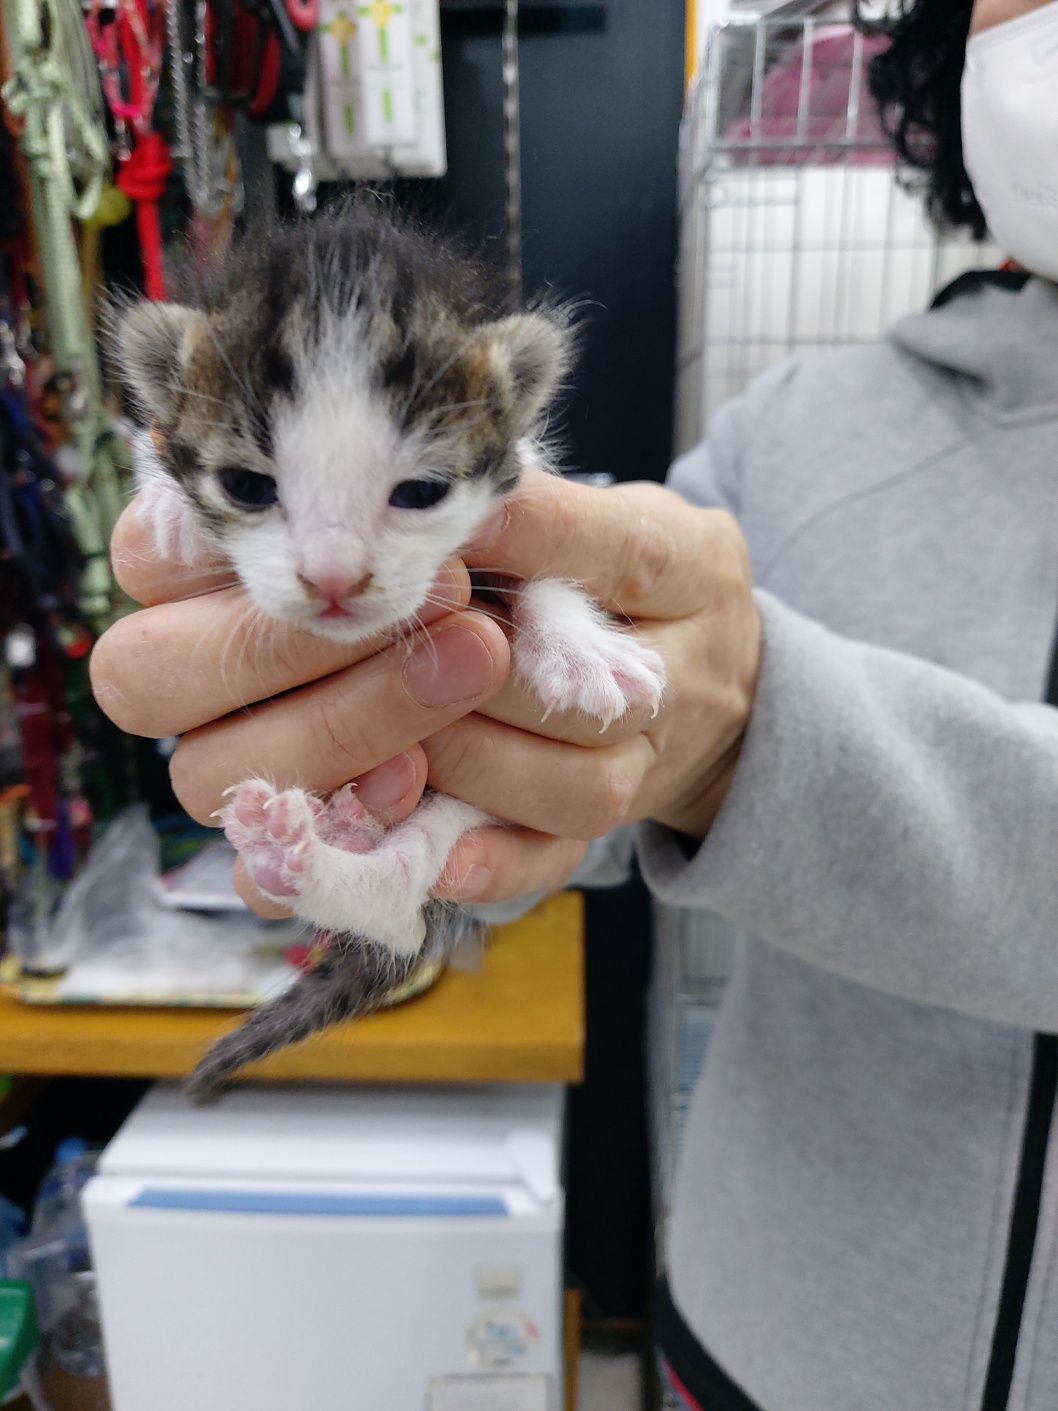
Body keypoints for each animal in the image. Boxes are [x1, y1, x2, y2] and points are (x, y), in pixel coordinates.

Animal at [114, 201, 663, 1100]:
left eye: (422, 492)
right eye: (248, 486)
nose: (334, 577)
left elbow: (541, 567)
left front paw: (582, 647)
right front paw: (163, 502)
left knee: (406, 902)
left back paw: (327, 848)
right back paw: (299, 846)